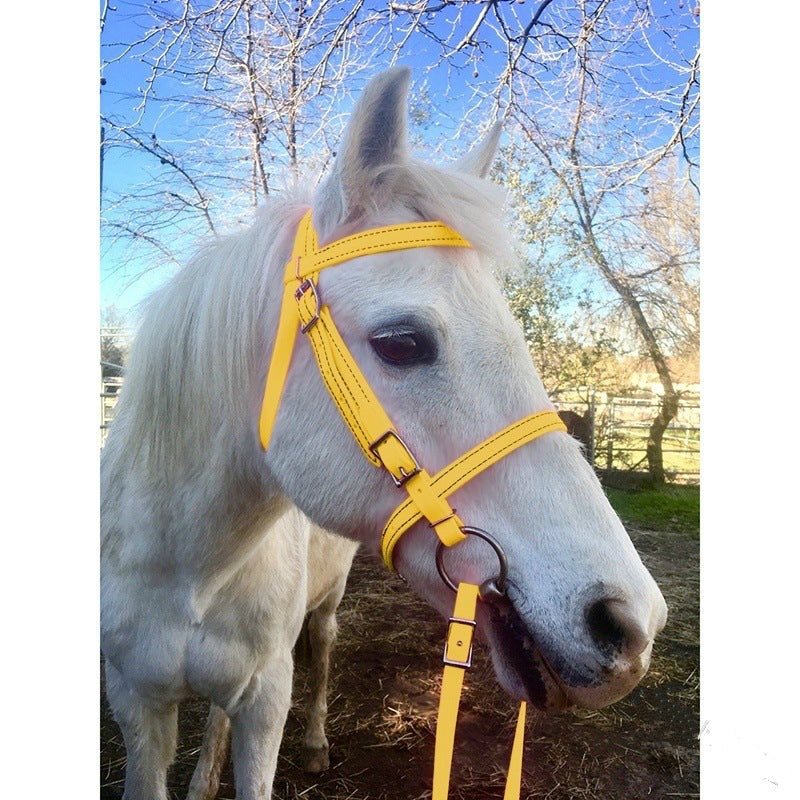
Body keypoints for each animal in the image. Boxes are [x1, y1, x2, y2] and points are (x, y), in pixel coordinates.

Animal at [100, 67, 667, 800]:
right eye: (402, 342)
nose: (632, 623)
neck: (190, 568)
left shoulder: (265, 700)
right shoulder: (136, 705)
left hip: (324, 610)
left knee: (321, 648)